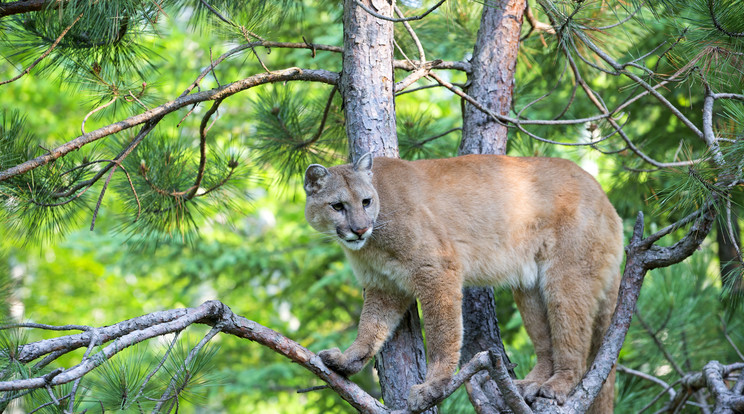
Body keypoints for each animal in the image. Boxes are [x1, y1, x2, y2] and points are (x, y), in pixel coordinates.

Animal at [302, 154, 620, 412]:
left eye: (365, 202)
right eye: (337, 206)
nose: (359, 229)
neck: (373, 241)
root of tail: (605, 197)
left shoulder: (438, 269)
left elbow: (442, 334)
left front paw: (434, 385)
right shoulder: (384, 285)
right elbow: (370, 327)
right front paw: (347, 361)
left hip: (566, 279)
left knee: (574, 342)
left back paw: (556, 386)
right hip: (530, 289)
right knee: (546, 344)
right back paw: (529, 384)